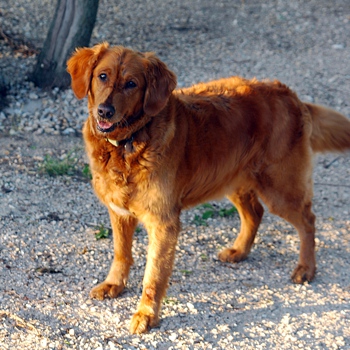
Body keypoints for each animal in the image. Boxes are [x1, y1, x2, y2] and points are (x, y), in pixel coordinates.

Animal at [66, 42, 350, 332]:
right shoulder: (119, 212)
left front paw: (146, 314)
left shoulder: (163, 222)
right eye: (102, 76)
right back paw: (239, 251)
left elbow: (153, 274)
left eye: (131, 84)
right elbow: (121, 254)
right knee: (255, 213)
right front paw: (114, 284)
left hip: (280, 188)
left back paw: (306, 268)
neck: (127, 144)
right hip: (232, 178)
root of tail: (290, 95)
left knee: (307, 220)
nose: (105, 111)